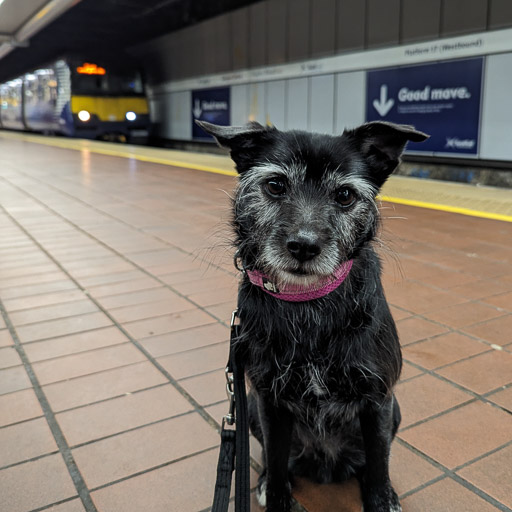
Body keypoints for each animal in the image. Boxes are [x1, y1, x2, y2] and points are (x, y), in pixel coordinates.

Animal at [199, 119, 428, 512]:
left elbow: (379, 462)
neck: (308, 304)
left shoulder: (378, 400)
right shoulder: (269, 402)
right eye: (275, 185)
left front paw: (381, 498)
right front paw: (277, 495)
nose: (304, 246)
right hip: (251, 413)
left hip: (394, 411)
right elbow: (276, 459)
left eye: (345, 195)